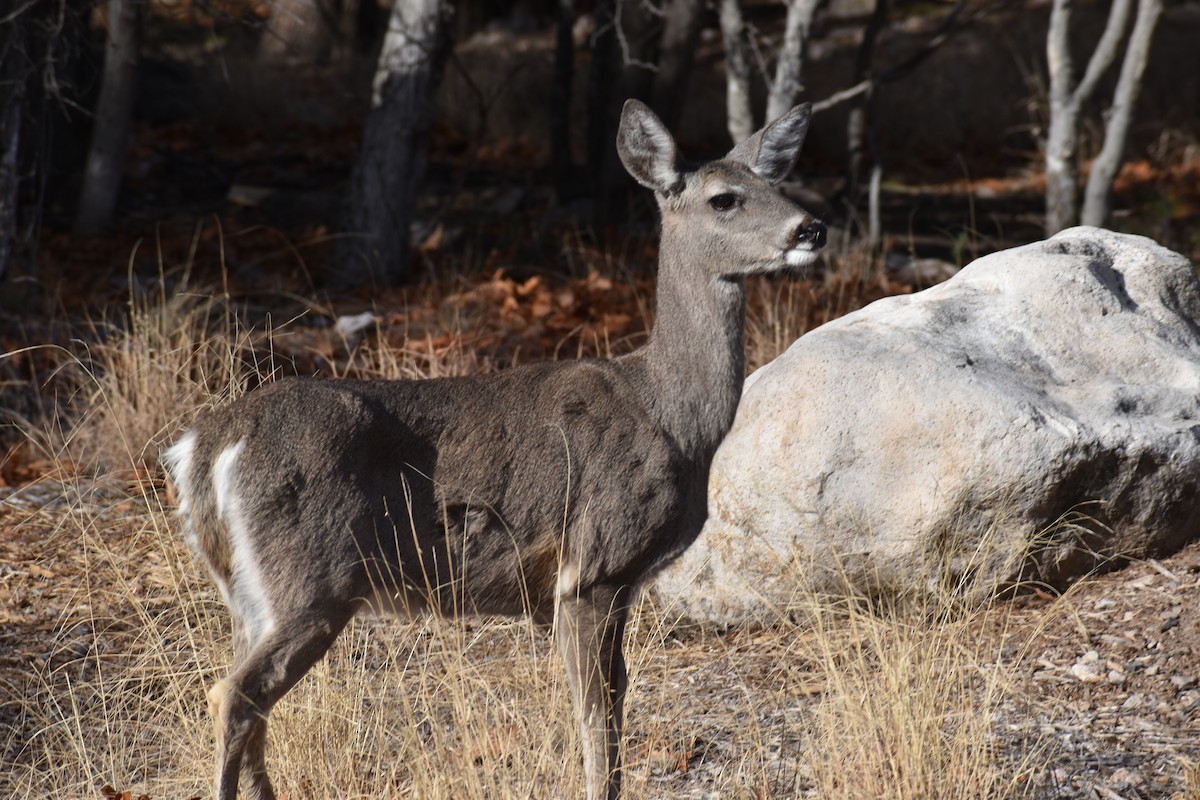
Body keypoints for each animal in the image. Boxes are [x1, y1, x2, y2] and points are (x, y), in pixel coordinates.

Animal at [162, 98, 825, 800]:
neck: (671, 414)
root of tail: (202, 447)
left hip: (248, 594)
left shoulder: (612, 585)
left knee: (249, 701)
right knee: (234, 696)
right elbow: (595, 715)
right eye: (724, 198)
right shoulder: (593, 566)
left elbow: (617, 701)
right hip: (312, 577)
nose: (812, 227)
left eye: (777, 182)